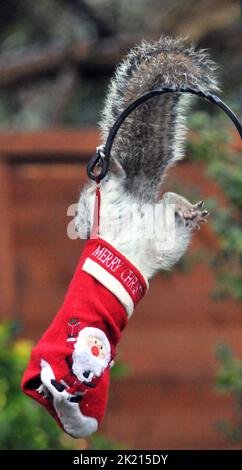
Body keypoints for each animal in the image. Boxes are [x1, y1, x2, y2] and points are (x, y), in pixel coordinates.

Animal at [76, 37, 218, 280]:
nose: (79, 229)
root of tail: (136, 199)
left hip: (109, 197)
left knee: (119, 178)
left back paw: (111, 163)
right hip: (167, 230)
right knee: (169, 200)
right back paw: (189, 211)